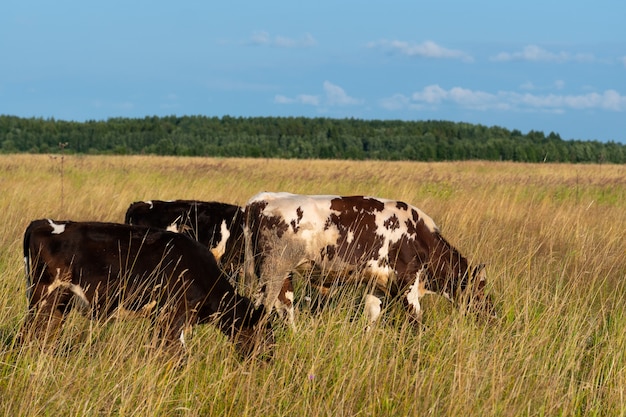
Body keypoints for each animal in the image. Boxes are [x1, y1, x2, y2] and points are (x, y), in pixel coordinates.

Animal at [21, 218, 270, 358]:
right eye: (267, 334)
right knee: (28, 333)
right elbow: (177, 354)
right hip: (43, 294)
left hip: (59, 303)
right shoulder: (174, 315)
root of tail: (42, 222)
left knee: (45, 332)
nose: (268, 360)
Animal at [244, 191, 492, 328]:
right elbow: (416, 322)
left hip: (281, 274)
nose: (493, 316)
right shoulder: (408, 284)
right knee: (263, 307)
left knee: (285, 307)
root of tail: (262, 199)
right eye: (481, 292)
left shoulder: (377, 284)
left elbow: (371, 318)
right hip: (273, 272)